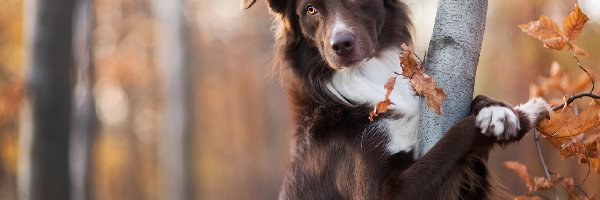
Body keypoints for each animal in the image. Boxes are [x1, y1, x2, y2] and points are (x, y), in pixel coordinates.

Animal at [241, 0, 552, 198]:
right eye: (310, 9)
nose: (341, 45)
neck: (366, 76)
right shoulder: (386, 193)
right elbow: (455, 135)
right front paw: (526, 112)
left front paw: (496, 111)